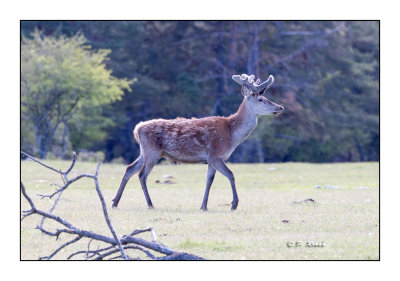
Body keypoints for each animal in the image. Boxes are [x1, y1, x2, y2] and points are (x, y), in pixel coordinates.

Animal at [111, 73, 282, 209]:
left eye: (265, 97)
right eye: (261, 99)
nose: (280, 107)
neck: (232, 135)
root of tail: (137, 128)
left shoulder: (211, 160)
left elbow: (209, 180)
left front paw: (203, 206)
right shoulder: (216, 154)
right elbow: (231, 175)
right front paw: (234, 204)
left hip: (145, 152)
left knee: (129, 168)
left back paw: (115, 202)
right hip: (152, 151)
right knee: (142, 175)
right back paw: (150, 204)